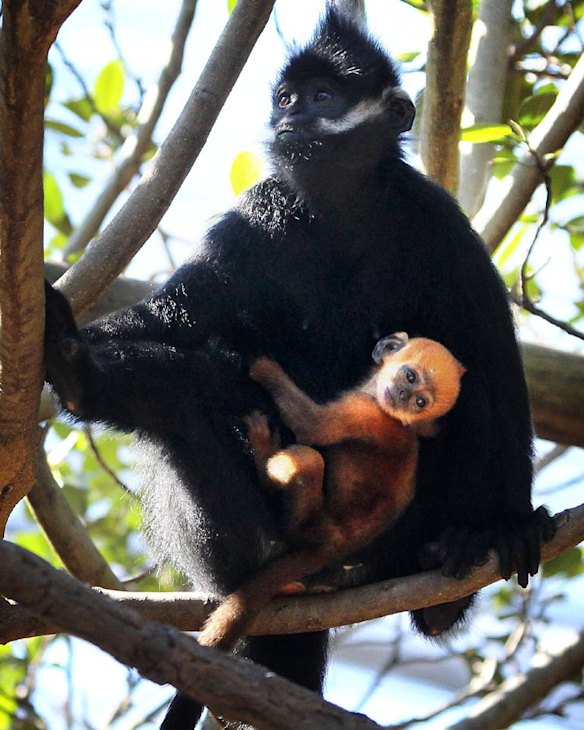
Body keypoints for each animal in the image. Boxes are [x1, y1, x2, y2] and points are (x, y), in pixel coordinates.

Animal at [199, 333, 466, 652]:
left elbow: (312, 425)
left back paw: (264, 456)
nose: (403, 395)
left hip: (308, 526)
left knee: (307, 458)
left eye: (420, 402)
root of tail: (330, 547)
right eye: (410, 377)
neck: (397, 419)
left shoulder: (364, 410)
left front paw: (261, 365)